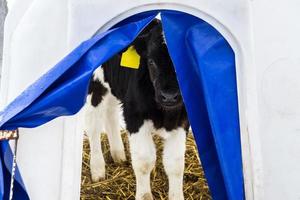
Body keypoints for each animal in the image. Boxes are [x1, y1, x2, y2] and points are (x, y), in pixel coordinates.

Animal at [83, 19, 189, 200]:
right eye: (151, 61)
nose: (169, 96)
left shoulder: (182, 120)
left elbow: (175, 164)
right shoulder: (135, 116)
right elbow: (144, 161)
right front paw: (144, 195)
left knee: (111, 114)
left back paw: (118, 155)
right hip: (95, 85)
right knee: (93, 126)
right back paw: (97, 170)